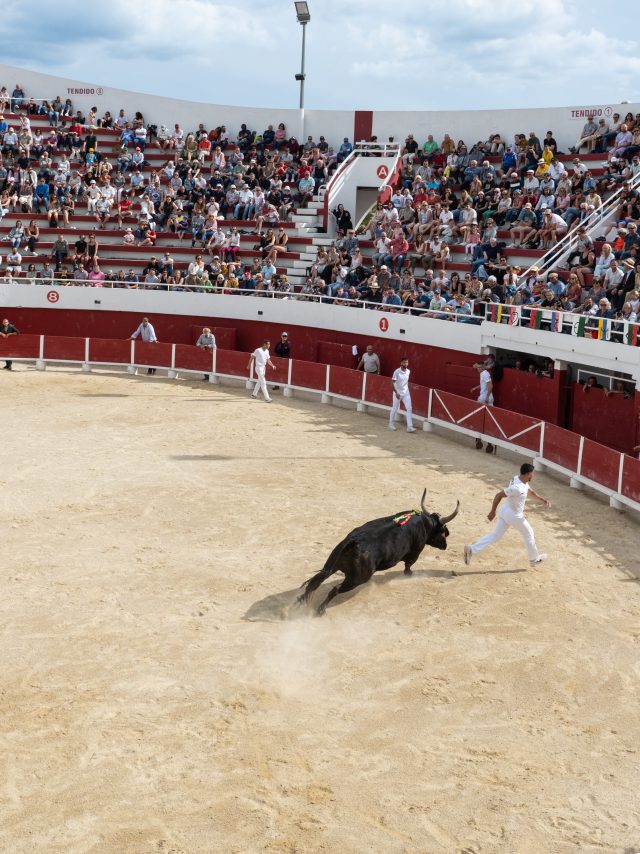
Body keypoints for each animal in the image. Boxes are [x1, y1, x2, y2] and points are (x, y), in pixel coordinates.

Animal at [298, 492, 458, 620]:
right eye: (443, 532)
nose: (445, 546)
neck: (426, 523)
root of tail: (353, 541)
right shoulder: (416, 552)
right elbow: (408, 564)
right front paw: (409, 574)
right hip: (358, 578)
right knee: (334, 589)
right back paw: (320, 610)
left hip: (331, 565)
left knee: (315, 582)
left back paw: (299, 602)